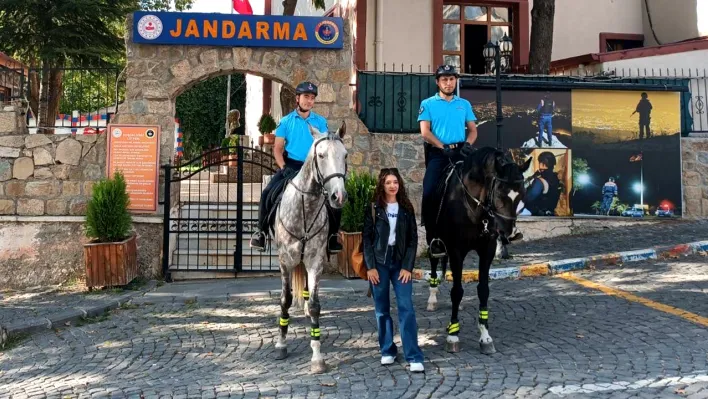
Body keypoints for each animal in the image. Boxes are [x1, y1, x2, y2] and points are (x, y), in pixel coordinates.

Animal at [272, 120, 348, 374]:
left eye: (345, 155)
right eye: (321, 155)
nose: (338, 196)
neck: (306, 206)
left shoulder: (315, 261)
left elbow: (315, 305)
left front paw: (317, 356)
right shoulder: (285, 261)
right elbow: (284, 300)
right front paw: (281, 344)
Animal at [420, 148, 532, 354]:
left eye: (521, 194)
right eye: (499, 193)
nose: (510, 234)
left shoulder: (486, 250)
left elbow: (483, 290)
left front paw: (485, 336)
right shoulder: (456, 251)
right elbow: (456, 291)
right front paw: (453, 335)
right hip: (432, 237)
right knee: (433, 262)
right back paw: (432, 299)